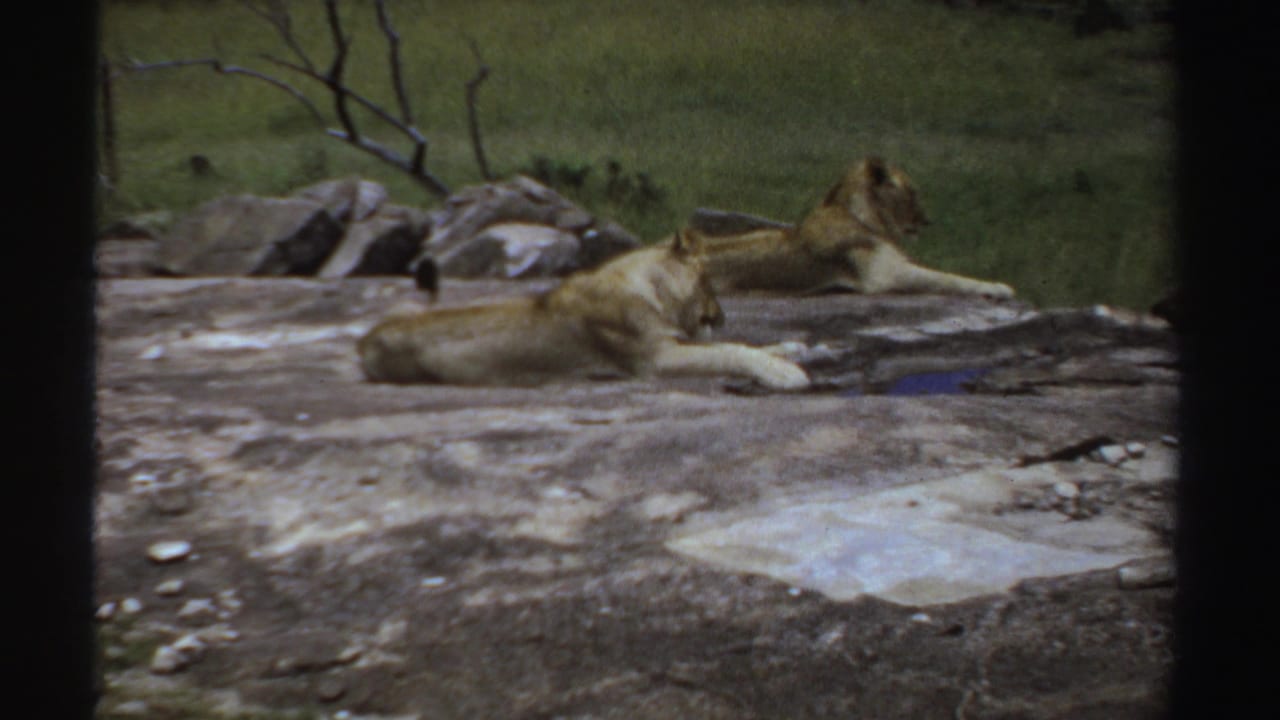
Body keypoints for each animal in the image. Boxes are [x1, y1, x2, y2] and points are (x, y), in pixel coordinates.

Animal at [357, 229, 811, 390]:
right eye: (710, 283)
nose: (721, 318)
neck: (646, 287)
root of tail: (364, 341)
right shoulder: (654, 359)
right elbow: (729, 350)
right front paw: (786, 373)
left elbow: (745, 345)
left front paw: (794, 349)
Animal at [697, 157, 1015, 298]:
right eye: (912, 192)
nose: (927, 221)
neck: (864, 218)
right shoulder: (884, 276)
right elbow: (946, 278)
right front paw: (998, 287)